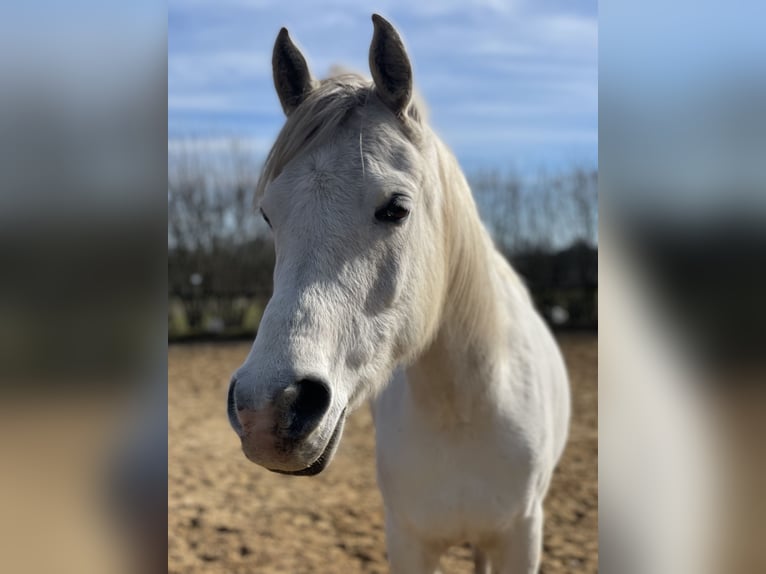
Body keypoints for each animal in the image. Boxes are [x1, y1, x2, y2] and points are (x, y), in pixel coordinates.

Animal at [227, 14, 570, 573]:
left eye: (396, 208)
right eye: (268, 215)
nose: (269, 411)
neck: (462, 411)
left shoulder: (522, 538)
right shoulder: (407, 539)